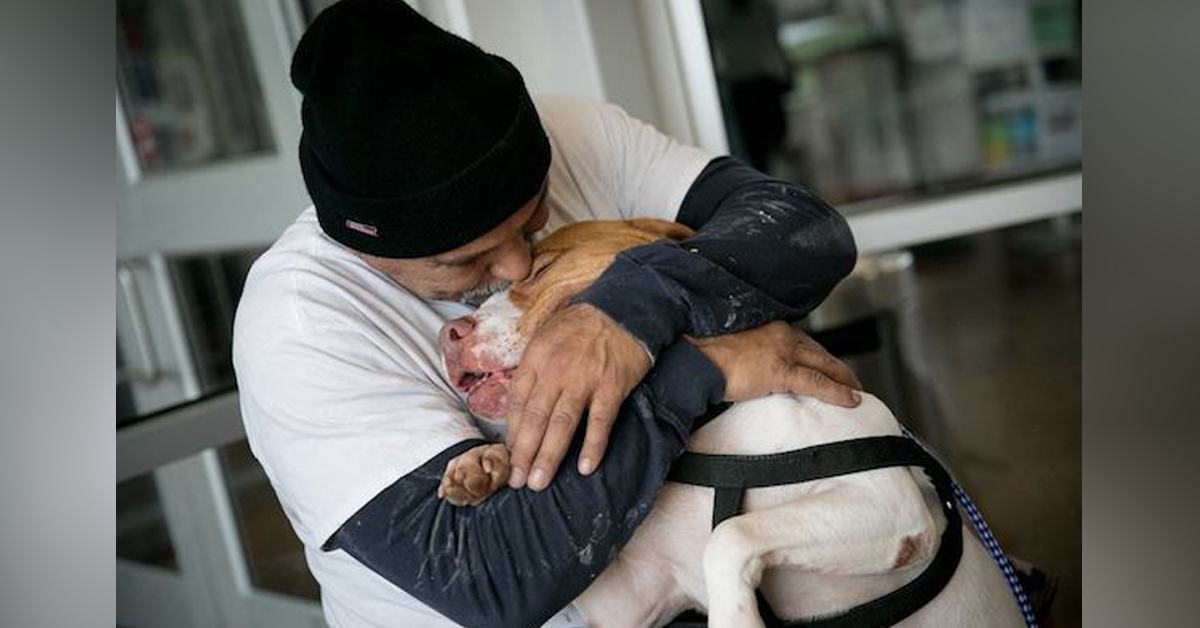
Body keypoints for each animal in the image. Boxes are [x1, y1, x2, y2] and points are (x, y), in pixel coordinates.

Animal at [436, 219, 1017, 628]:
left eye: (537, 272)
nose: (448, 334)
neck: (705, 431)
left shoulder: (884, 503)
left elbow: (729, 535)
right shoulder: (628, 603)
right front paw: (486, 462)